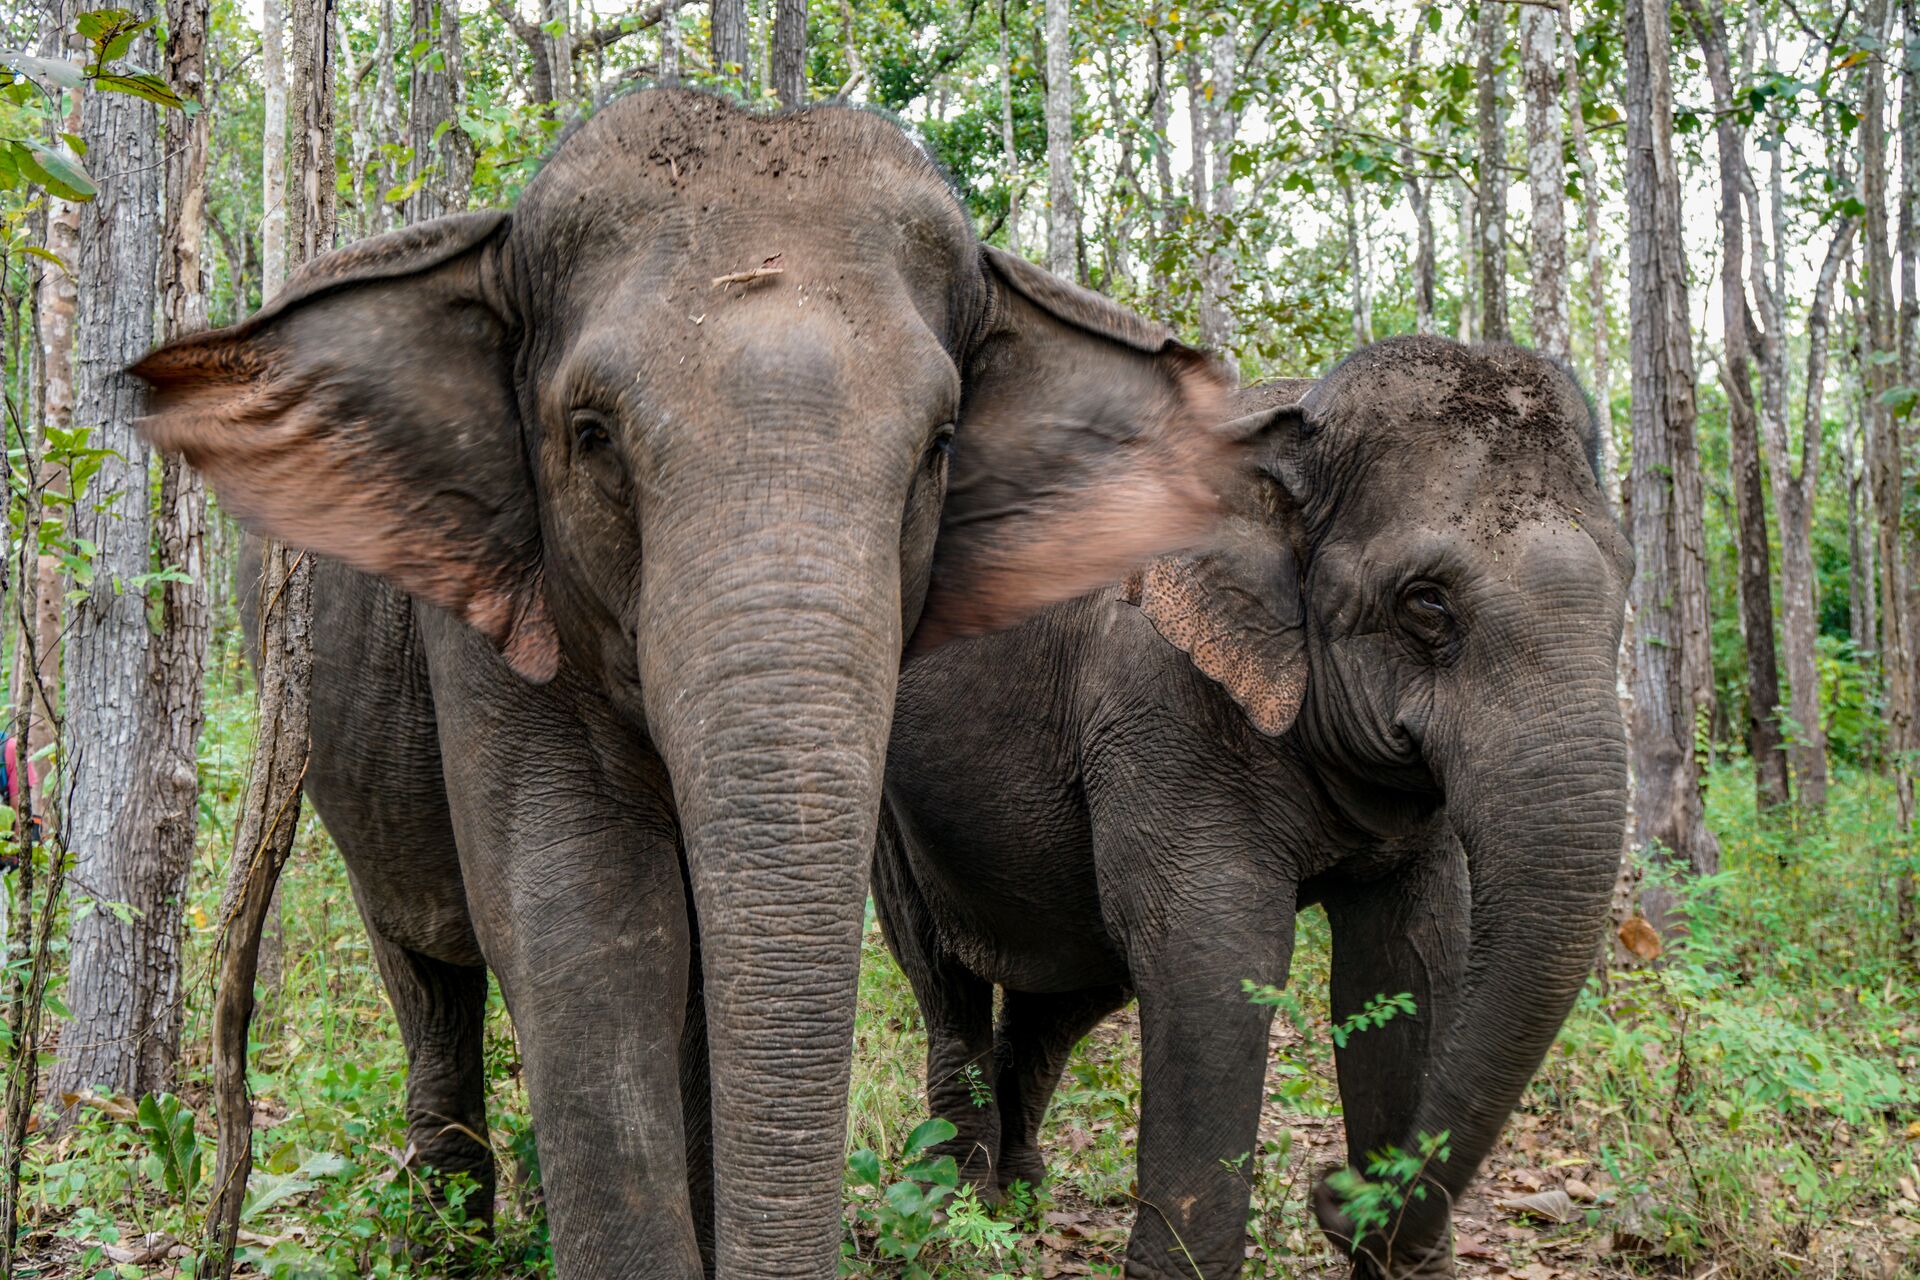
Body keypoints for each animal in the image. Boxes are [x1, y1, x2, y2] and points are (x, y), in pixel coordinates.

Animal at [132, 88, 1255, 1279]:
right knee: (426, 958)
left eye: (942, 443)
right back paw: (451, 1237)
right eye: (590, 435)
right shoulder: (500, 606)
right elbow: (590, 922)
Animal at [874, 336, 1633, 1278]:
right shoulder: (1161, 705)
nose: (1334, 1195)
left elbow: (1412, 956)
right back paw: (954, 1211)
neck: (1291, 429)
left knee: (1070, 987)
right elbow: (1216, 955)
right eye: (1427, 601)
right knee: (944, 976)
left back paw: (1016, 1199)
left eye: (1628, 582)